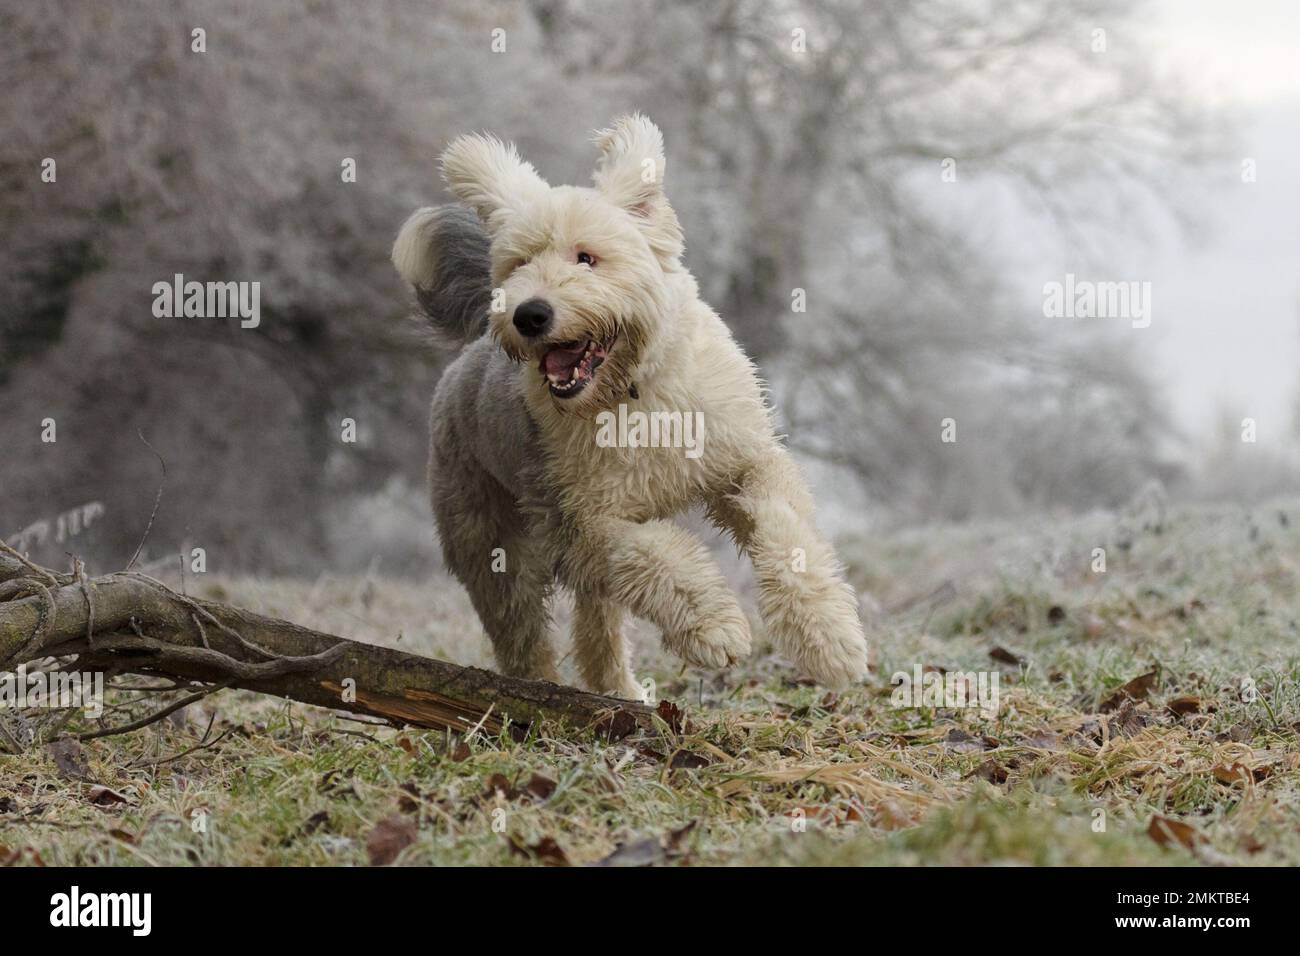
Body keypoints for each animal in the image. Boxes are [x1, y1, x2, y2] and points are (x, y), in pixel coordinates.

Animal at [390, 113, 868, 697]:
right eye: (520, 262)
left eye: (586, 257)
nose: (528, 314)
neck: (632, 394)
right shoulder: (584, 521)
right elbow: (657, 557)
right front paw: (715, 628)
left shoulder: (746, 460)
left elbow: (784, 527)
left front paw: (829, 639)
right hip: (489, 540)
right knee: (522, 630)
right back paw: (539, 692)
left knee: (596, 626)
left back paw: (620, 692)